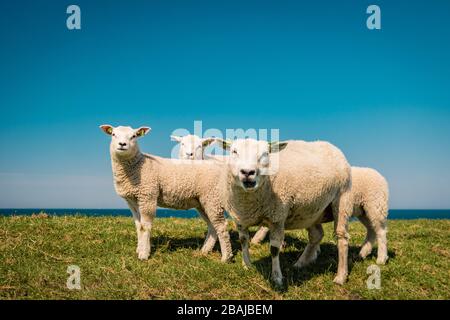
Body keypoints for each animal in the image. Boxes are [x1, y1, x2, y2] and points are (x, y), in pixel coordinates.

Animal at [98, 125, 232, 262]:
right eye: (113, 134)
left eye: (134, 136)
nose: (122, 144)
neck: (137, 166)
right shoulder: (132, 201)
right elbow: (138, 226)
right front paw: (139, 249)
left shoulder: (148, 195)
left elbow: (145, 227)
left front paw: (144, 254)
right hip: (203, 201)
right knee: (212, 226)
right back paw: (204, 251)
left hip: (213, 197)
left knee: (221, 226)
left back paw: (226, 257)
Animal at [216, 139, 354, 286]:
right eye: (234, 151)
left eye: (266, 153)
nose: (248, 172)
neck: (249, 202)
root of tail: (332, 146)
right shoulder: (240, 219)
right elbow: (243, 241)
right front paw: (247, 265)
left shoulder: (277, 217)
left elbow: (274, 249)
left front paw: (277, 277)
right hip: (311, 210)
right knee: (316, 235)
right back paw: (301, 263)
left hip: (342, 198)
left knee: (342, 238)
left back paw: (341, 276)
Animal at [251, 166, 388, 264]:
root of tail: (380, 175)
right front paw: (314, 254)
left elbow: (265, 226)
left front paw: (256, 240)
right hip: (363, 211)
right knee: (372, 230)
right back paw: (362, 253)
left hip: (375, 205)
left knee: (380, 231)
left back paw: (381, 258)